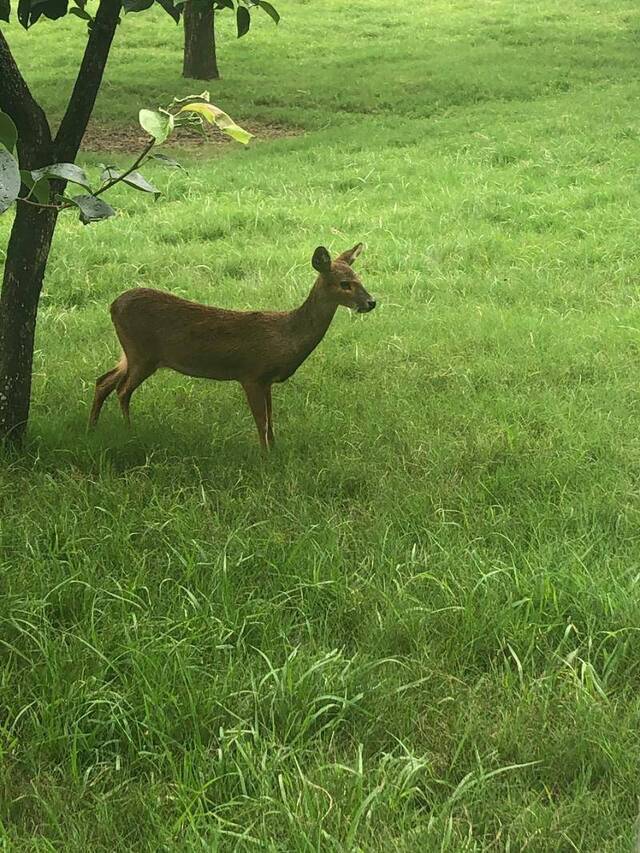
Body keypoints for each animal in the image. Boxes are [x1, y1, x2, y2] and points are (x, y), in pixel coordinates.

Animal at [87, 243, 372, 450]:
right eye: (345, 284)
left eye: (359, 278)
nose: (371, 302)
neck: (286, 335)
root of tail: (113, 305)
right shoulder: (251, 374)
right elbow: (261, 422)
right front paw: (265, 459)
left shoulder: (267, 381)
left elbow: (271, 420)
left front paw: (275, 450)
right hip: (142, 354)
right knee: (122, 390)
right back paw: (128, 432)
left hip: (129, 353)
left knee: (103, 381)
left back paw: (92, 429)